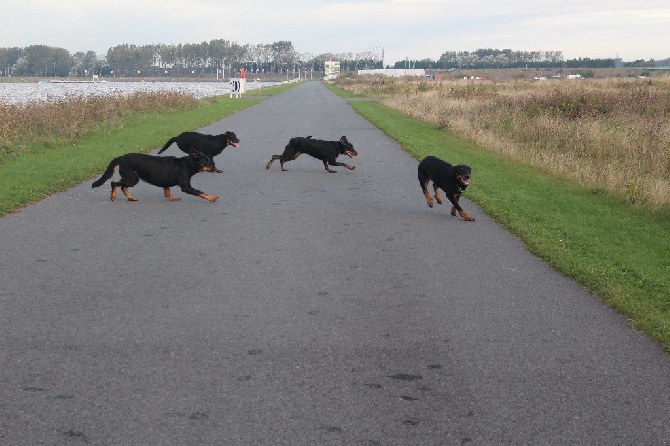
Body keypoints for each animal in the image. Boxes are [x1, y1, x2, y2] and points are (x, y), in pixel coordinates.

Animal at [90, 152, 218, 203]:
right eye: (206, 162)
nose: (215, 169)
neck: (188, 164)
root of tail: (121, 158)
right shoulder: (185, 186)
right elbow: (200, 192)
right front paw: (211, 197)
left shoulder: (166, 182)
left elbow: (167, 192)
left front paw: (172, 198)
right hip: (132, 178)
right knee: (115, 184)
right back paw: (113, 197)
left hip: (131, 178)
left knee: (122, 187)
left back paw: (131, 198)